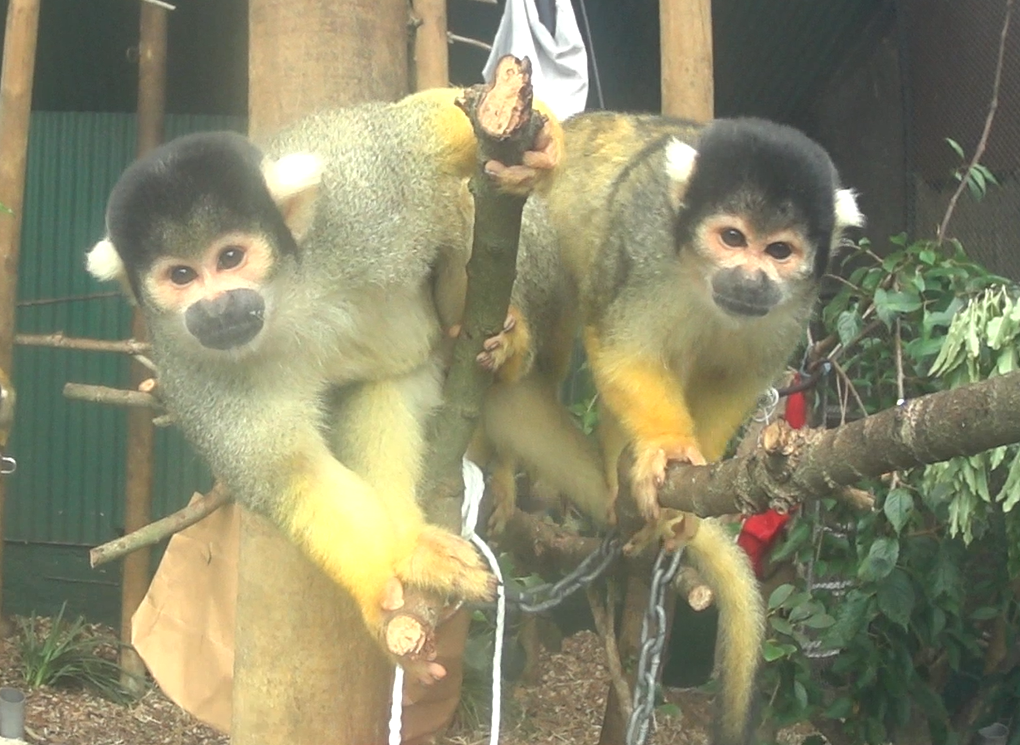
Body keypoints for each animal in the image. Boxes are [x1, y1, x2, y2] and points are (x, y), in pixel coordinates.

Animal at [84, 85, 562, 682]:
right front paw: (381, 596)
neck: (283, 298)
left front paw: (542, 141)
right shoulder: (190, 364)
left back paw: (501, 340)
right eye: (181, 276)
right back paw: (408, 540)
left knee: (462, 208)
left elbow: (414, 138)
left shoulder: (357, 201)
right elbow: (294, 475)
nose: (218, 310)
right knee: (381, 387)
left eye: (230, 257)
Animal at [470, 112, 863, 743]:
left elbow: (736, 380)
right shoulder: (644, 237)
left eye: (780, 251)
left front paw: (690, 479)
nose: (751, 280)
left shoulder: (792, 309)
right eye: (732, 238)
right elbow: (624, 347)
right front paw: (667, 448)